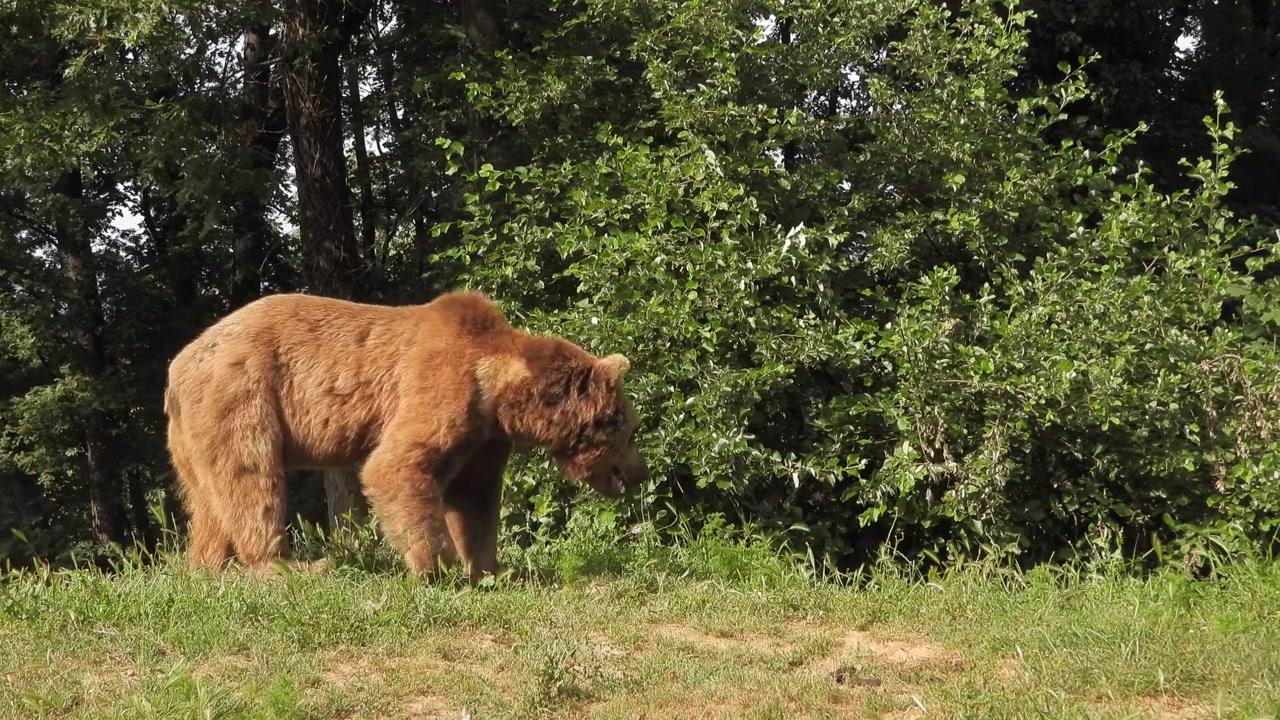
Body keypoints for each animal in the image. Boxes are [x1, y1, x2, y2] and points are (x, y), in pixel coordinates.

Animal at [162, 290, 647, 581]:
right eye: (628, 427)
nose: (639, 471)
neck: (499, 391)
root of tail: (178, 364)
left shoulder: (481, 437)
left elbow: (475, 498)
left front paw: (489, 568)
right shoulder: (440, 388)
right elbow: (396, 467)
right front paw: (438, 566)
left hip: (190, 433)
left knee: (207, 499)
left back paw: (206, 565)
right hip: (243, 394)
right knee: (250, 477)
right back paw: (290, 563)